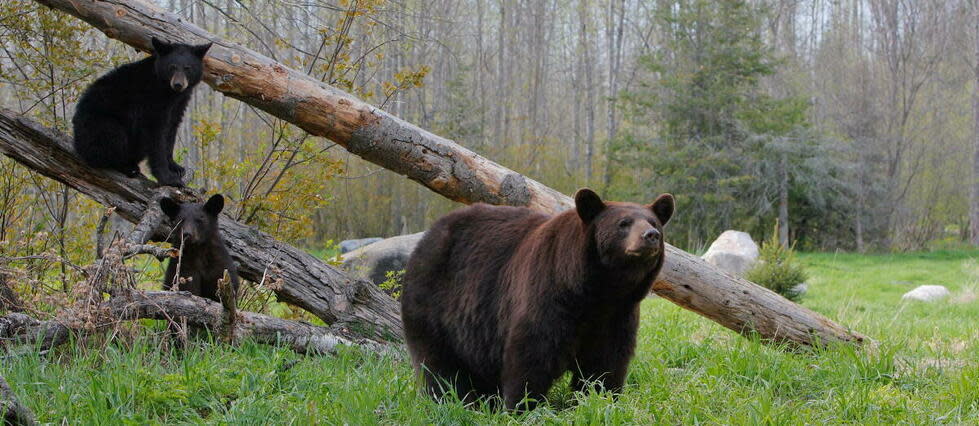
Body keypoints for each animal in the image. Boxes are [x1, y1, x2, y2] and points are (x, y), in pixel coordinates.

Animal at [402, 188, 676, 408]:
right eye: (624, 223)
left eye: (653, 221)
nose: (651, 235)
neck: (596, 291)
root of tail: (427, 236)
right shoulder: (549, 294)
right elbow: (533, 352)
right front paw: (522, 405)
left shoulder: (618, 314)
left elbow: (606, 361)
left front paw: (600, 398)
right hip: (433, 302)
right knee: (439, 365)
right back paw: (452, 399)